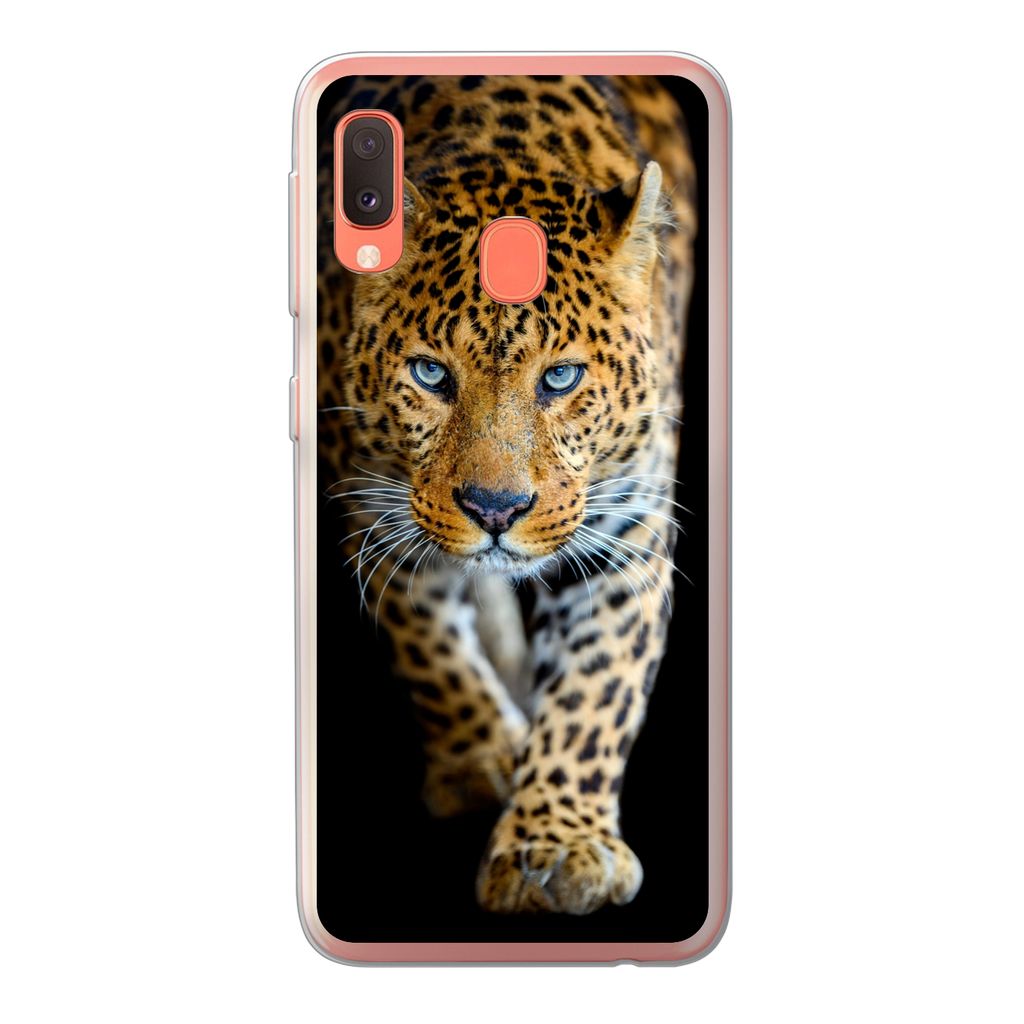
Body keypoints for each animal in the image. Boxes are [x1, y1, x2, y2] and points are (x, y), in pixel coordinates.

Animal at [316, 73, 696, 915]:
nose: (496, 511)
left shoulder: (628, 537)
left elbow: (596, 692)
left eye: (561, 378)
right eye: (431, 374)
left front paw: (558, 843)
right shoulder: (373, 505)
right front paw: (480, 756)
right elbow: (427, 645)